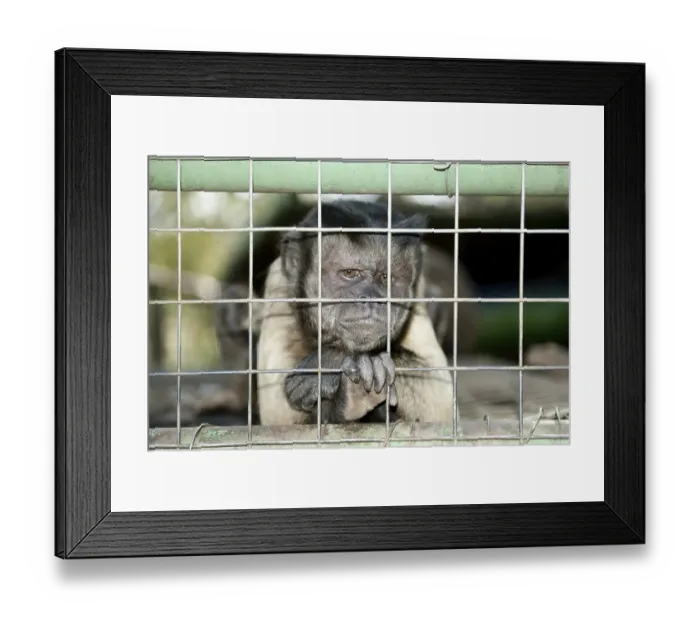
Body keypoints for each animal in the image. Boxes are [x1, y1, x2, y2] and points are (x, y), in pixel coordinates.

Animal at [255, 199, 456, 426]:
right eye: (350, 273)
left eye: (386, 277)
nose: (371, 298)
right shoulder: (277, 284)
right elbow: (279, 420)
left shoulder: (418, 290)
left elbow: (440, 403)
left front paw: (330, 361)